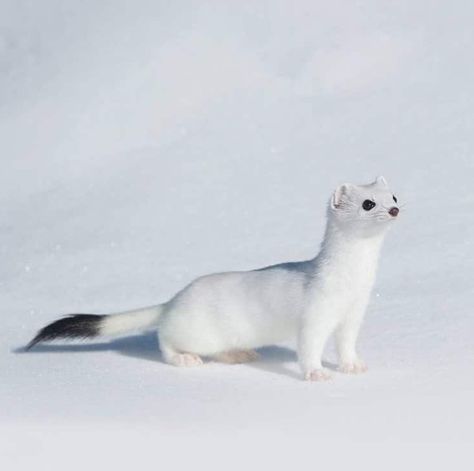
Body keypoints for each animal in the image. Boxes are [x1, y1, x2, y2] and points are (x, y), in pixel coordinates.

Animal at [27, 175, 398, 382]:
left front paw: (353, 366)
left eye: (393, 196)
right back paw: (184, 358)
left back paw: (240, 354)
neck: (351, 283)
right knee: (165, 340)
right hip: (192, 330)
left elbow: (347, 343)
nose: (395, 209)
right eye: (367, 203)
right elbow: (309, 346)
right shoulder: (315, 312)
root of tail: (173, 300)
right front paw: (316, 373)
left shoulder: (353, 313)